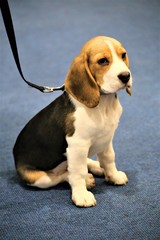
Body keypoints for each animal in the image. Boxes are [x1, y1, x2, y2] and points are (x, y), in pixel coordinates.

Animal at [13, 36, 132, 208]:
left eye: (123, 55)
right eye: (103, 61)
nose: (125, 76)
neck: (103, 103)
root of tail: (15, 154)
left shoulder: (106, 139)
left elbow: (109, 159)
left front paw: (114, 176)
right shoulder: (77, 145)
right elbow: (78, 172)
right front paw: (81, 195)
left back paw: (96, 167)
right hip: (38, 178)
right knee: (62, 175)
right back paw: (86, 179)